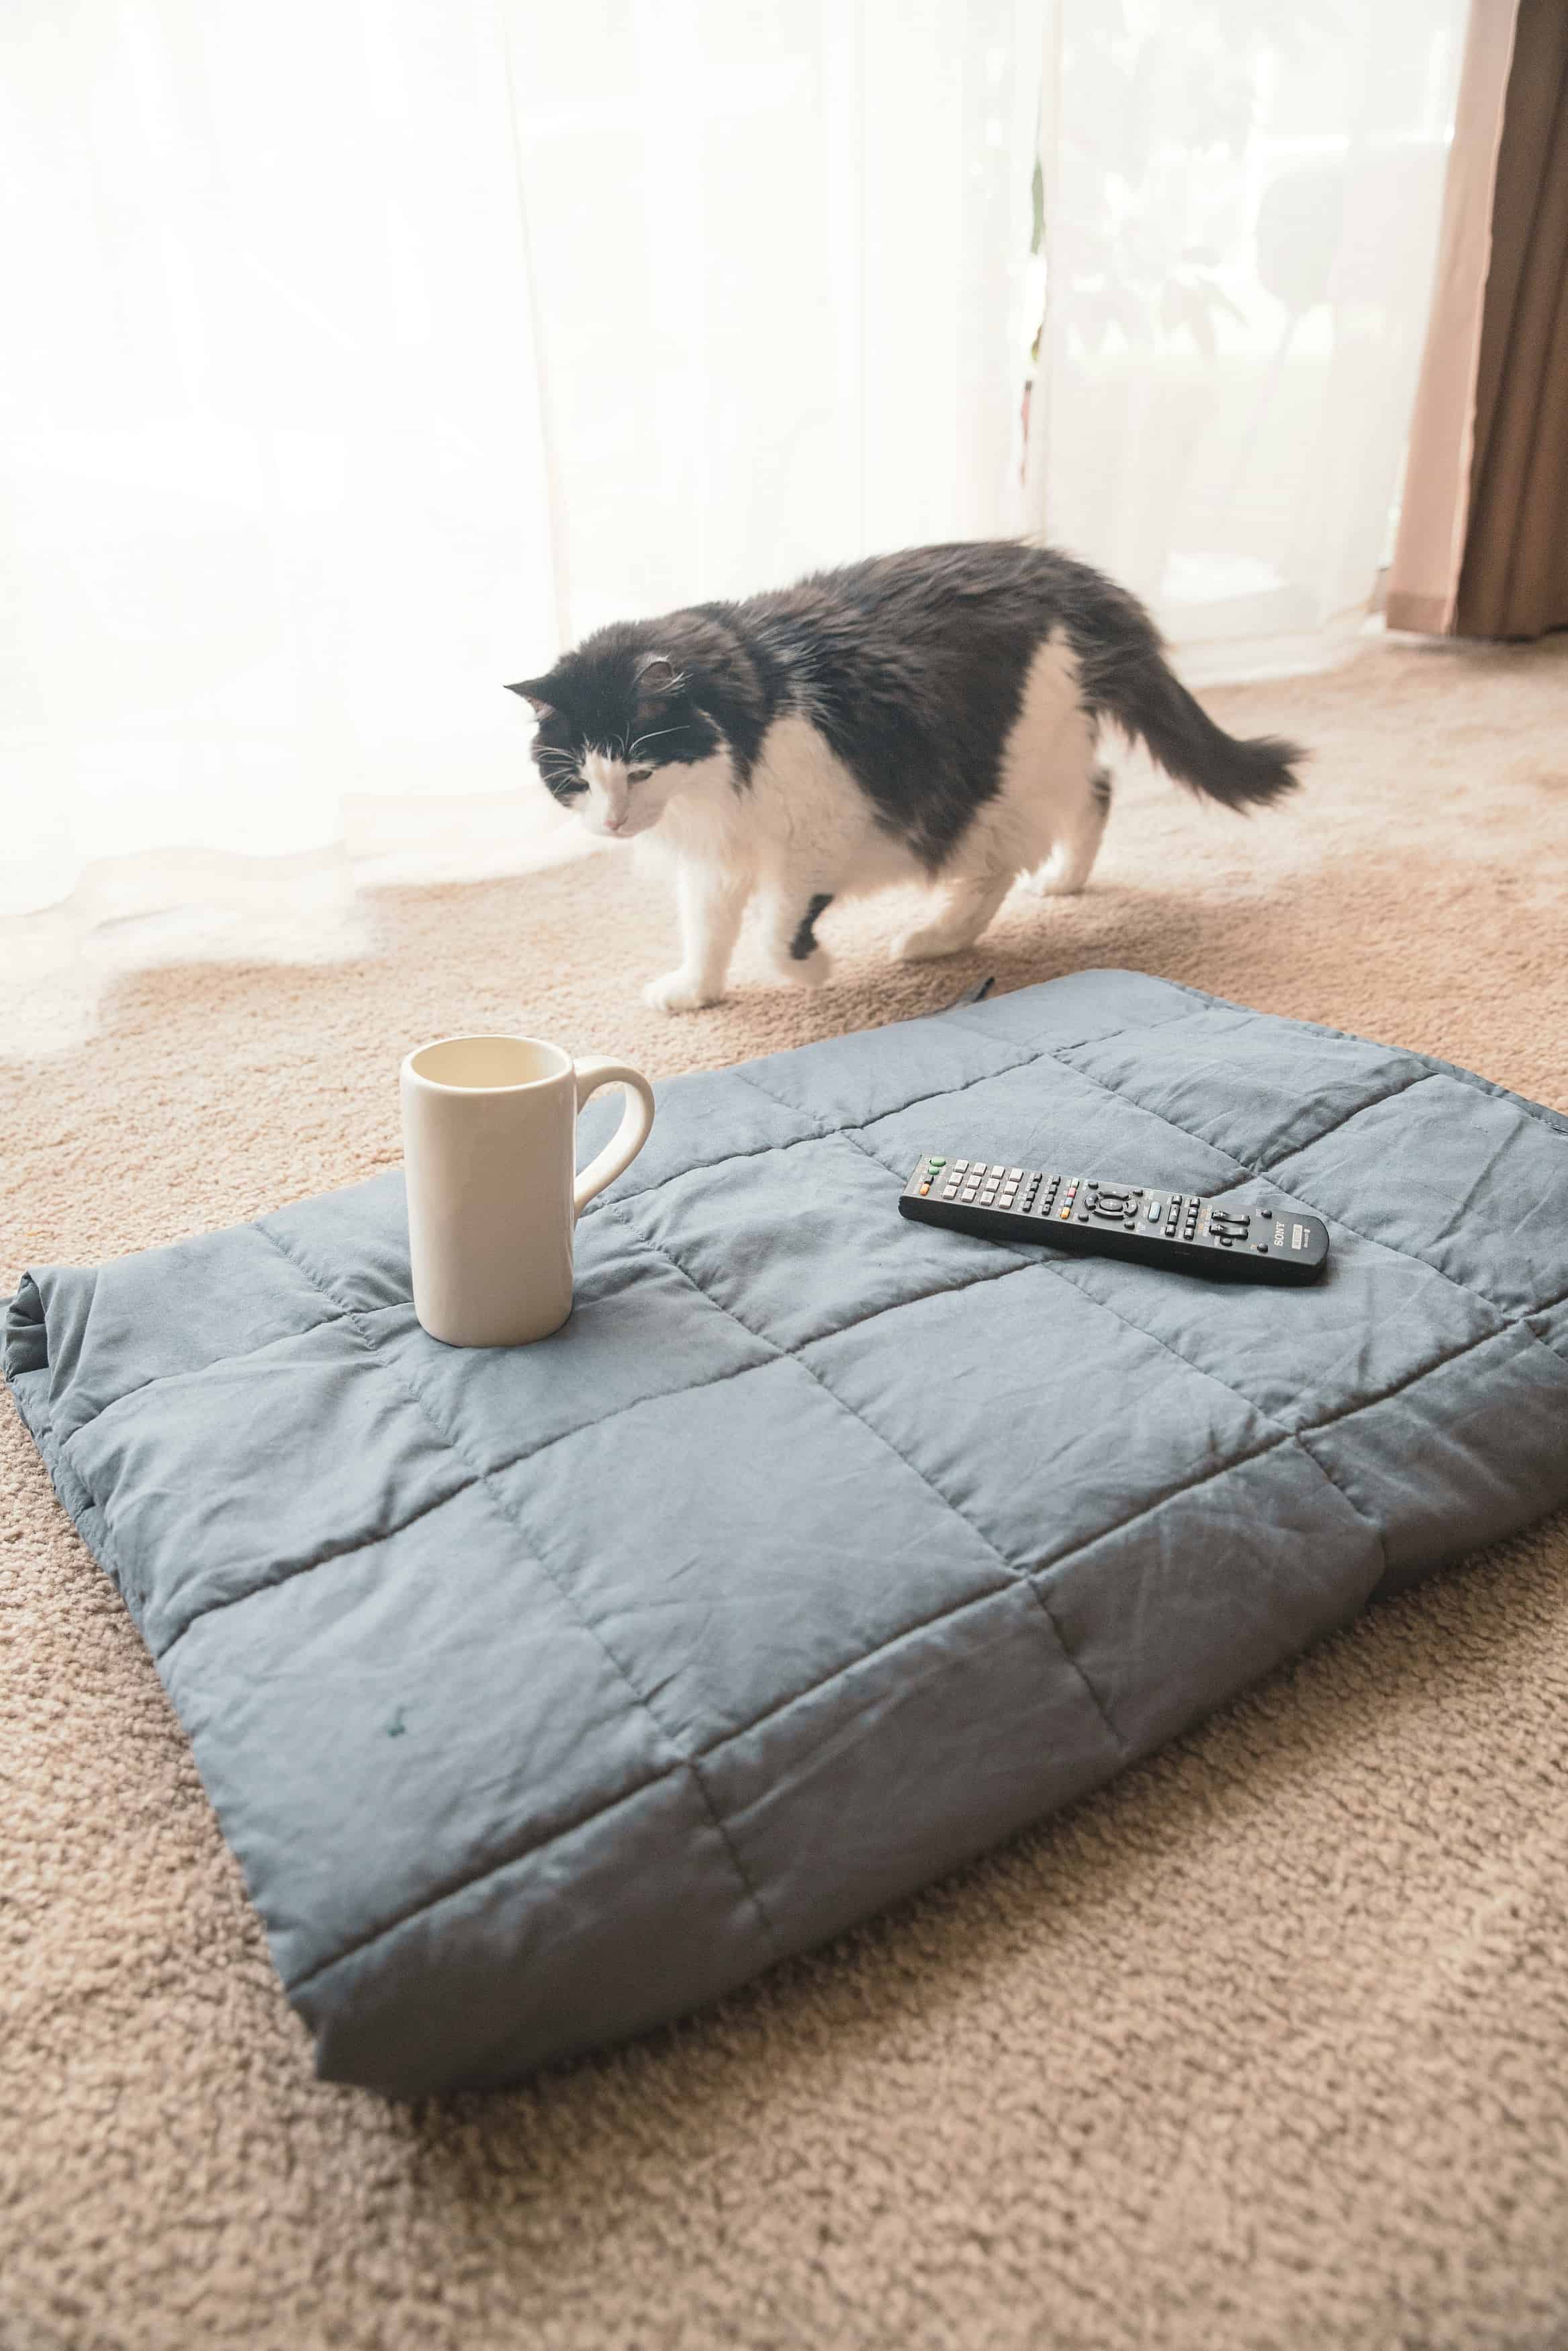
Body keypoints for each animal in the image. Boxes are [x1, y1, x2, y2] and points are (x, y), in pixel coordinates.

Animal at [510, 541, 1307, 1011]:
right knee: (1095, 792)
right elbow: (706, 931)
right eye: (577, 780)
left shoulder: (818, 830)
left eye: (639, 770)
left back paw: (935, 938)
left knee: (1014, 854)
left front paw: (813, 973)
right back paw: (1062, 883)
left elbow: (774, 931)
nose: (613, 821)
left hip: (998, 772)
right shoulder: (716, 856)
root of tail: (1059, 567)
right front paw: (694, 992)